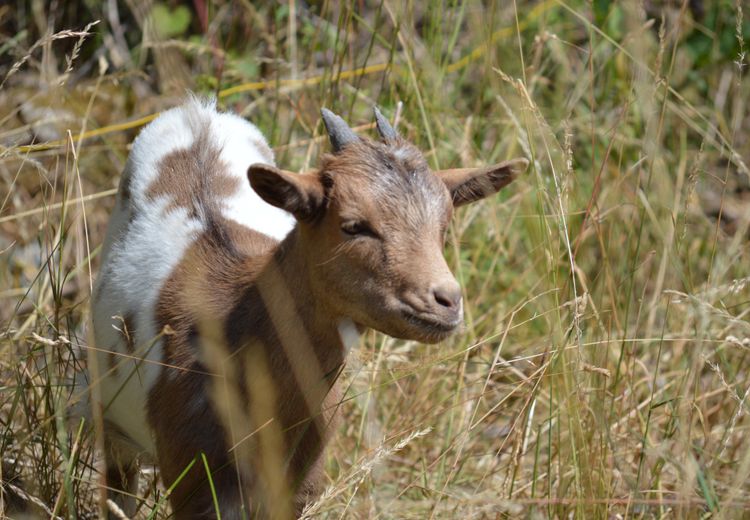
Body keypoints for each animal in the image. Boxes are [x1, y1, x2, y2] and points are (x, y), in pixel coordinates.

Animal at [91, 99, 528, 516]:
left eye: (444, 225)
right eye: (353, 225)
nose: (446, 301)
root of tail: (200, 111)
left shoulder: (302, 485)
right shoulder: (194, 482)